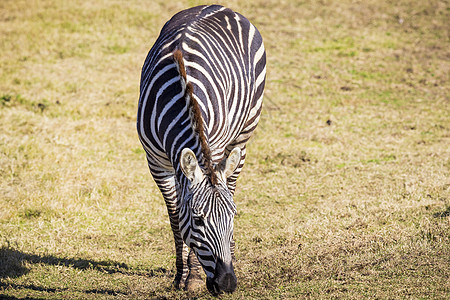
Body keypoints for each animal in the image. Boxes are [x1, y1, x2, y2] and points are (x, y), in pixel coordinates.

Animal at [135, 4, 266, 294]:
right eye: (198, 220)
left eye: (234, 217)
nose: (227, 283)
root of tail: (219, 6)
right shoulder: (157, 163)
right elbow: (175, 217)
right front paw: (181, 275)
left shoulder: (214, 150)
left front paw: (193, 278)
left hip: (243, 134)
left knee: (232, 181)